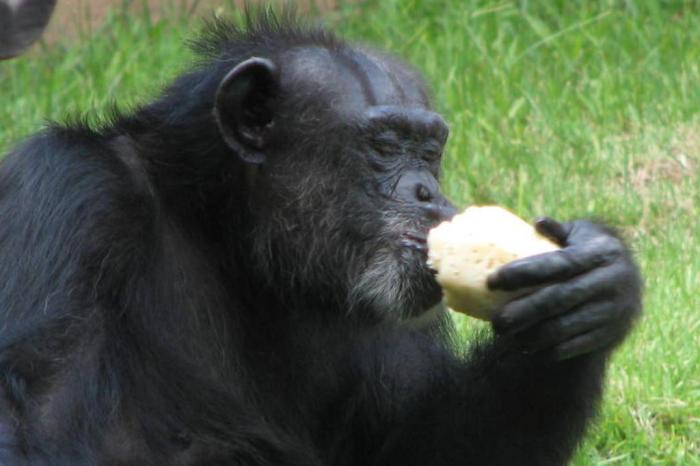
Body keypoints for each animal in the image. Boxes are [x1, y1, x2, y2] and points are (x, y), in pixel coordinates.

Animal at [0, 10, 640, 466]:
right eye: (386, 145)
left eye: (429, 151)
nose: (428, 193)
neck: (234, 243)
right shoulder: (68, 195)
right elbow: (35, 429)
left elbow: (424, 449)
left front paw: (597, 286)